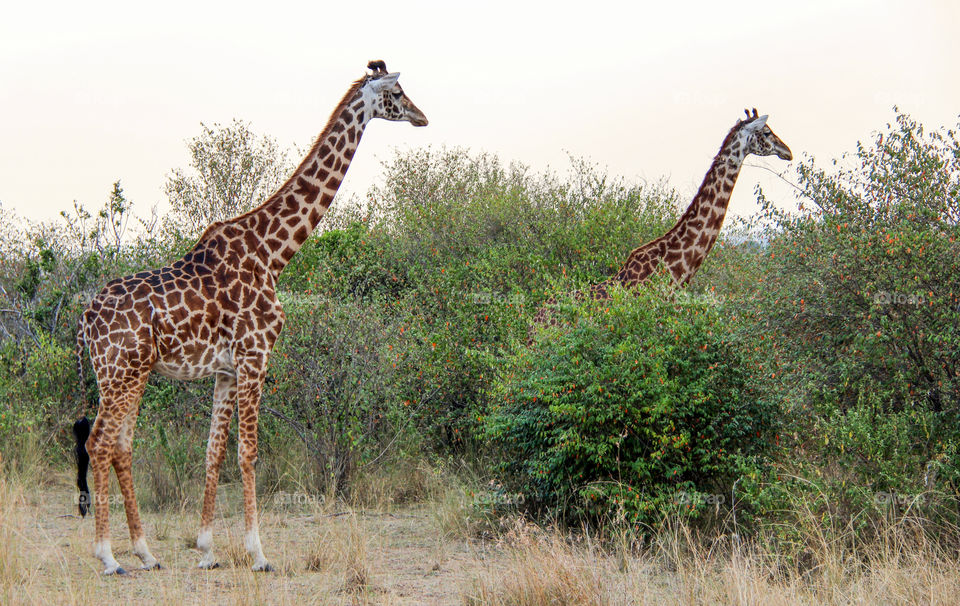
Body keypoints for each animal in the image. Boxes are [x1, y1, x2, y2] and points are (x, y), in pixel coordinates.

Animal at [69, 59, 426, 576]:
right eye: (397, 92)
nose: (422, 116)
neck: (273, 254)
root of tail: (85, 319)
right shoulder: (255, 356)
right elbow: (249, 453)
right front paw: (258, 553)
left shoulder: (225, 368)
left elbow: (214, 452)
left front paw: (207, 549)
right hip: (122, 372)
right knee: (98, 443)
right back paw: (109, 556)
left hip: (123, 375)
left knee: (119, 445)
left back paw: (146, 552)